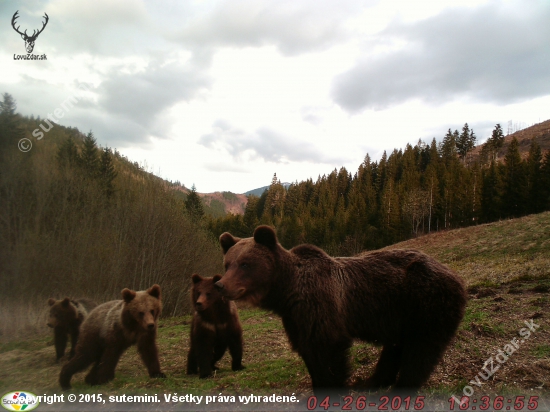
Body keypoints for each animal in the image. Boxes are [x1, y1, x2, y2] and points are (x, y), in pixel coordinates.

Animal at [215, 225, 466, 392]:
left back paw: (401, 387)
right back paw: (372, 382)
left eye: (245, 264)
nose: (221, 285)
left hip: (426, 305)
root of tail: (456, 276)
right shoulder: (296, 318)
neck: (287, 291)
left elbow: (329, 350)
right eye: (228, 264)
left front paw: (332, 386)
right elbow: (308, 351)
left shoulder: (321, 306)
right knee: (396, 347)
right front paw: (317, 385)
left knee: (421, 350)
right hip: (401, 314)